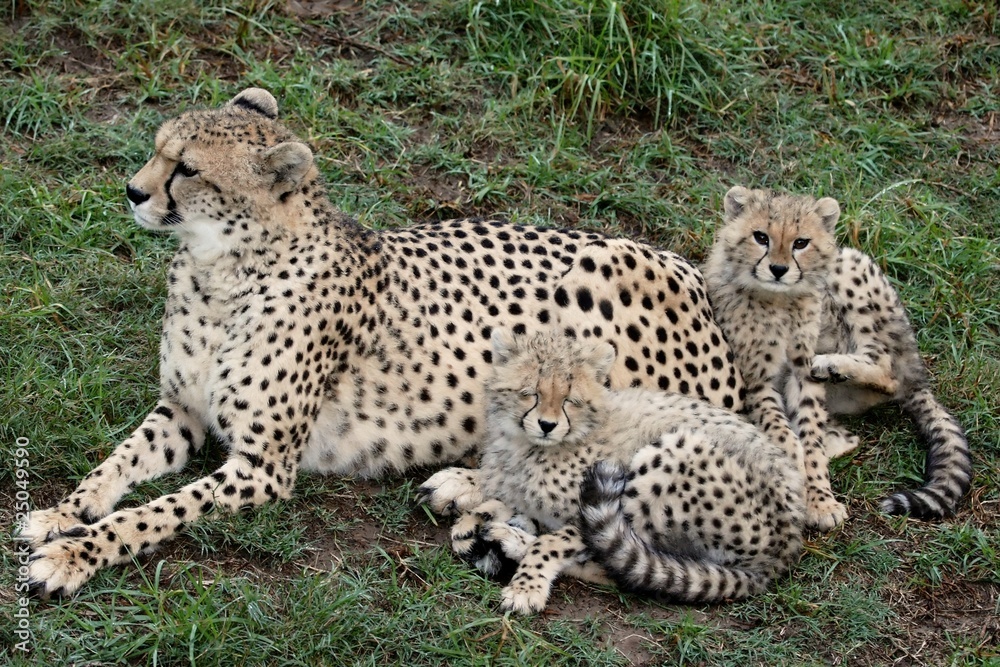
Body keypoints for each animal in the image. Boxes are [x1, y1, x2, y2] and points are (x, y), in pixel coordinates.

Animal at [18, 88, 744, 598]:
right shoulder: (182, 412)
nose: (133, 191)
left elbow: (156, 511)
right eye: (158, 148)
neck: (220, 271)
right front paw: (62, 512)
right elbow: (114, 464)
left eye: (187, 169)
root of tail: (699, 283)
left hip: (603, 274)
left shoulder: (262, 466)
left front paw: (74, 554)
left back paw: (462, 485)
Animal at [420, 329, 804, 614]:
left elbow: (553, 542)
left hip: (666, 458)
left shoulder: (592, 502)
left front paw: (527, 585)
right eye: (530, 393)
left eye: (569, 399)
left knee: (622, 567)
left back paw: (513, 542)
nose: (546, 425)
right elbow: (502, 488)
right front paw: (470, 507)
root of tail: (786, 547)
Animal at [702, 185, 970, 530]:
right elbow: (784, 433)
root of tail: (917, 373)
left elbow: (809, 437)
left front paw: (820, 500)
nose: (778, 270)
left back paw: (831, 364)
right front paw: (796, 472)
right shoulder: (758, 380)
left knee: (887, 372)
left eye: (800, 243)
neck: (778, 301)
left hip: (849, 267)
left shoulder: (802, 372)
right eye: (760, 237)